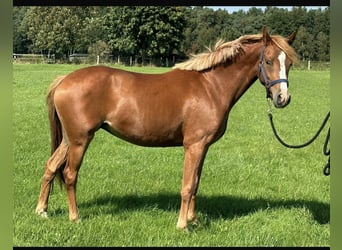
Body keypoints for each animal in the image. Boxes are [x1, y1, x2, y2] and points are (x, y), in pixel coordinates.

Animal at [35, 26, 296, 229]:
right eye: (268, 61)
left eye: (290, 64)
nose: (282, 98)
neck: (210, 86)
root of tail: (64, 80)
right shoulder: (194, 145)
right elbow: (187, 185)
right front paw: (183, 225)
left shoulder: (203, 147)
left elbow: (196, 184)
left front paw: (194, 220)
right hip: (80, 139)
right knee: (70, 174)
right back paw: (75, 217)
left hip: (69, 139)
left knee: (51, 166)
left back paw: (42, 211)